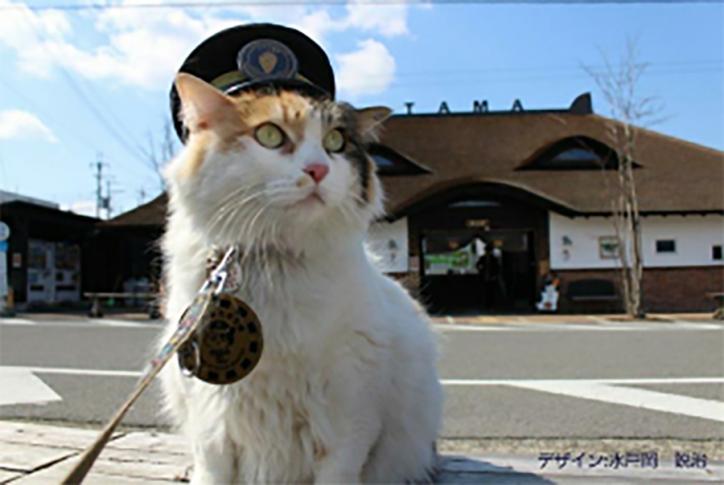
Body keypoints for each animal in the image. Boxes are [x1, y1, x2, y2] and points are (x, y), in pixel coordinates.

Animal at [160, 73, 442, 484]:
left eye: (335, 142)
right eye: (270, 135)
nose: (318, 170)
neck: (274, 264)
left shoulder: (348, 420)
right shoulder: (211, 419)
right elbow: (212, 471)